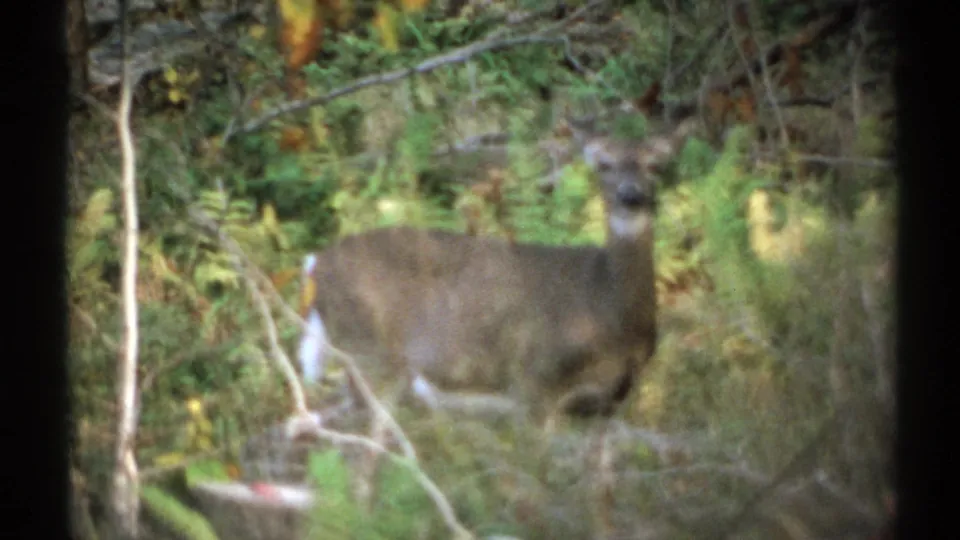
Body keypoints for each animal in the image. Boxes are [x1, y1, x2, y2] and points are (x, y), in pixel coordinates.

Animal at [296, 117, 696, 537]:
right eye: (603, 164)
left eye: (656, 165)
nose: (630, 197)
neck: (604, 311)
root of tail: (313, 265)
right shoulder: (532, 386)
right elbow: (534, 497)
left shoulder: (608, 404)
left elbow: (603, 502)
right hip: (370, 359)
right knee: (356, 466)